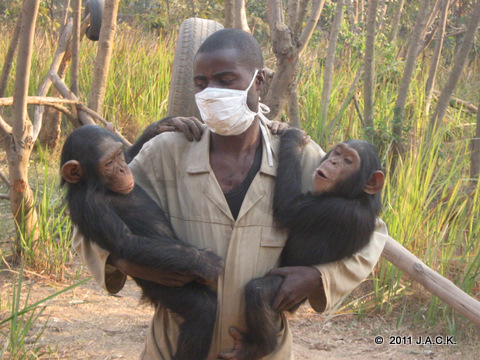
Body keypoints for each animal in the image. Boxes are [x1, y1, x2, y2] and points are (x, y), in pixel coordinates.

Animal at [60, 124, 223, 360]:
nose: (121, 170)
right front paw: (205, 261)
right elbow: (125, 242)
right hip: (161, 287)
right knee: (202, 308)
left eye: (118, 155)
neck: (97, 186)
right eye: (108, 163)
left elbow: (133, 156)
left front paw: (170, 124)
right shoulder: (90, 205)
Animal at [234, 129, 384, 360]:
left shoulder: (335, 210)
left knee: (258, 291)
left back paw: (261, 347)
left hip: (289, 294)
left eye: (349, 161)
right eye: (338, 152)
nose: (333, 161)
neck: (355, 195)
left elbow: (287, 206)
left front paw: (294, 139)